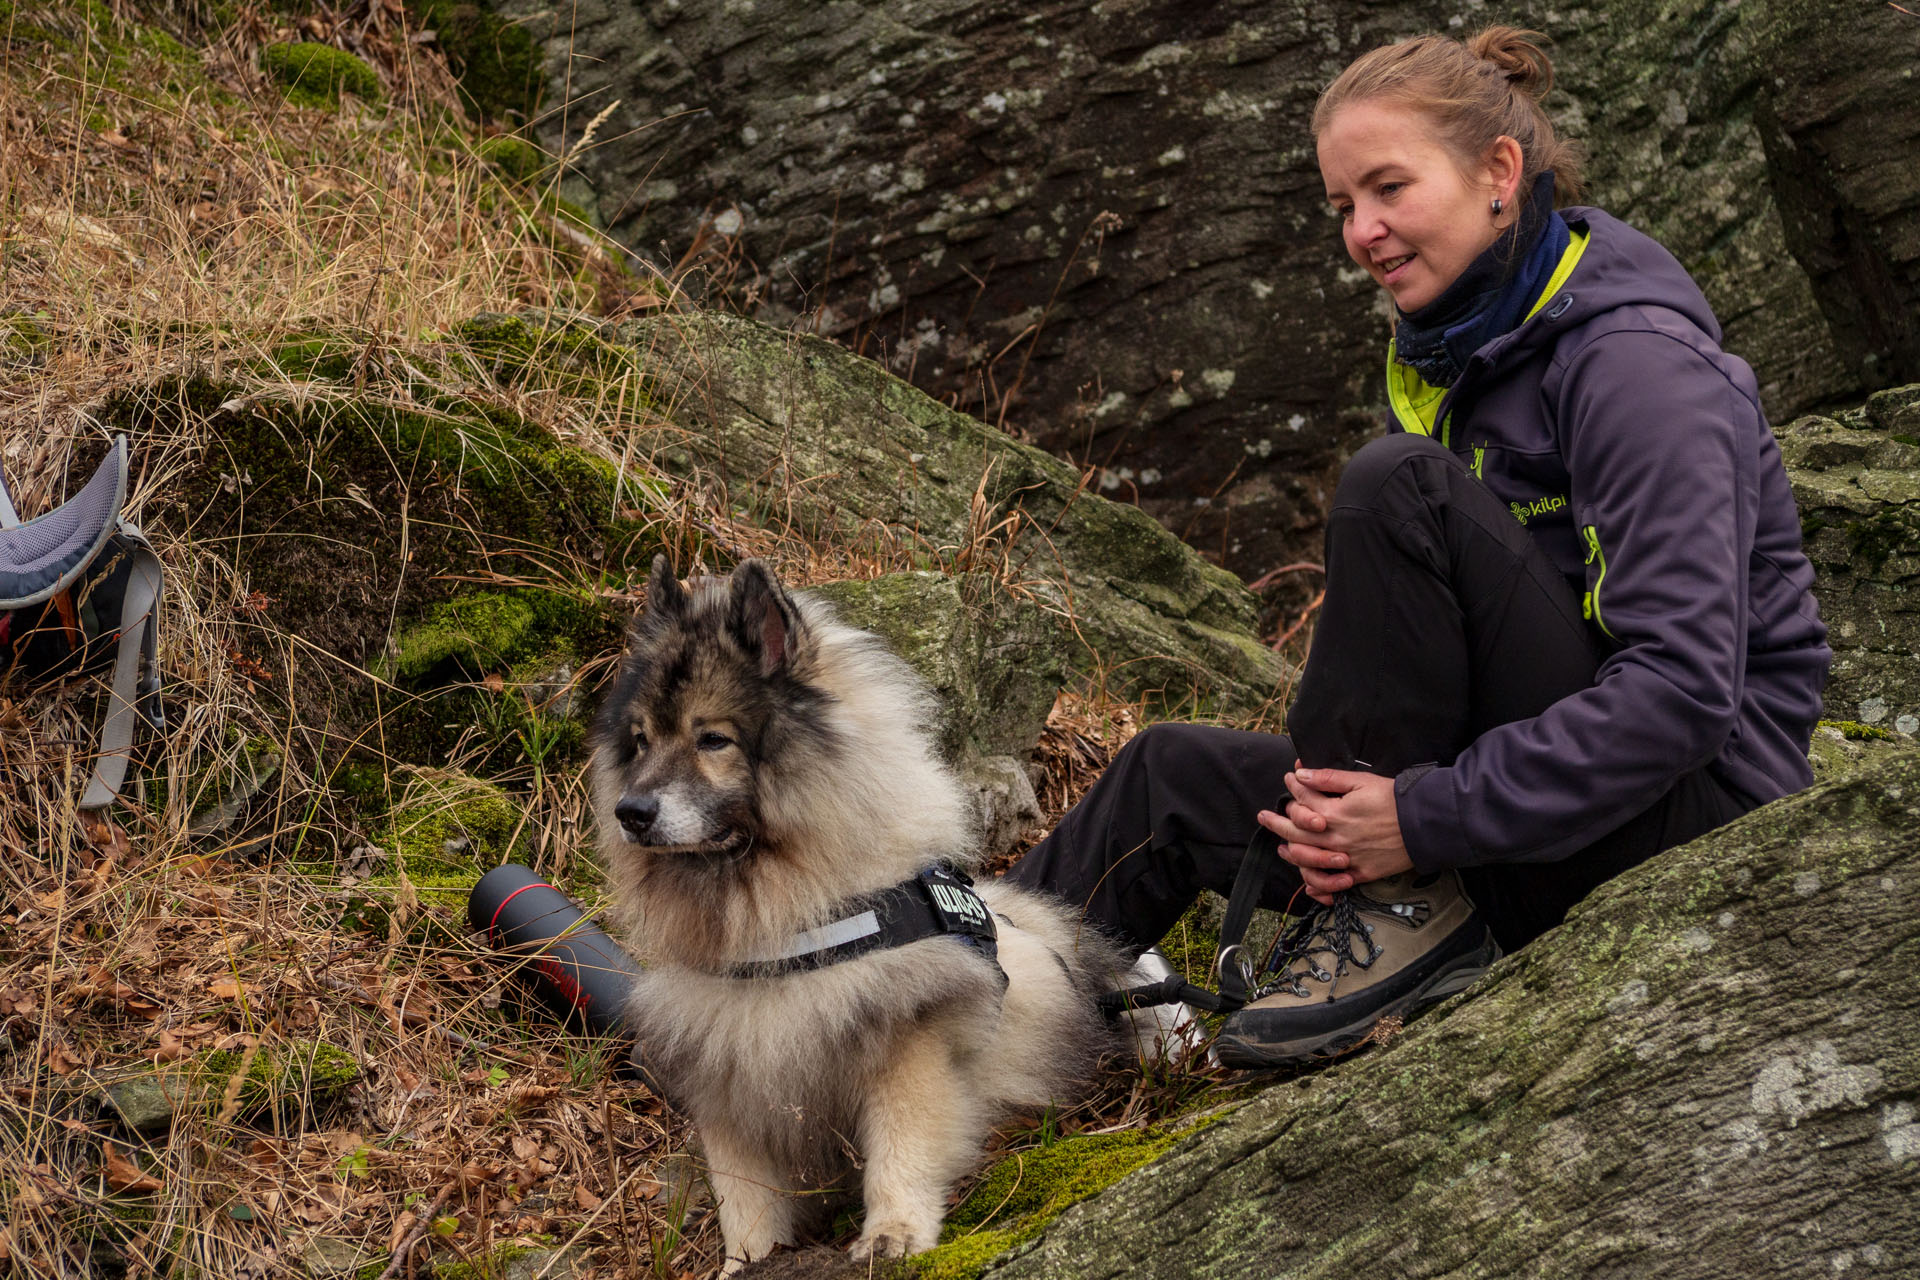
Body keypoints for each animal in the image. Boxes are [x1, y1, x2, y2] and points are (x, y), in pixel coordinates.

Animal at [591, 560, 1121, 1274]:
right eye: (642, 741)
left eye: (713, 739)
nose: (631, 812)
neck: (783, 925)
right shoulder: (725, 1073)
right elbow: (744, 1201)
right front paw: (744, 1263)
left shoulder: (907, 1041)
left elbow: (901, 1150)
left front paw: (894, 1234)